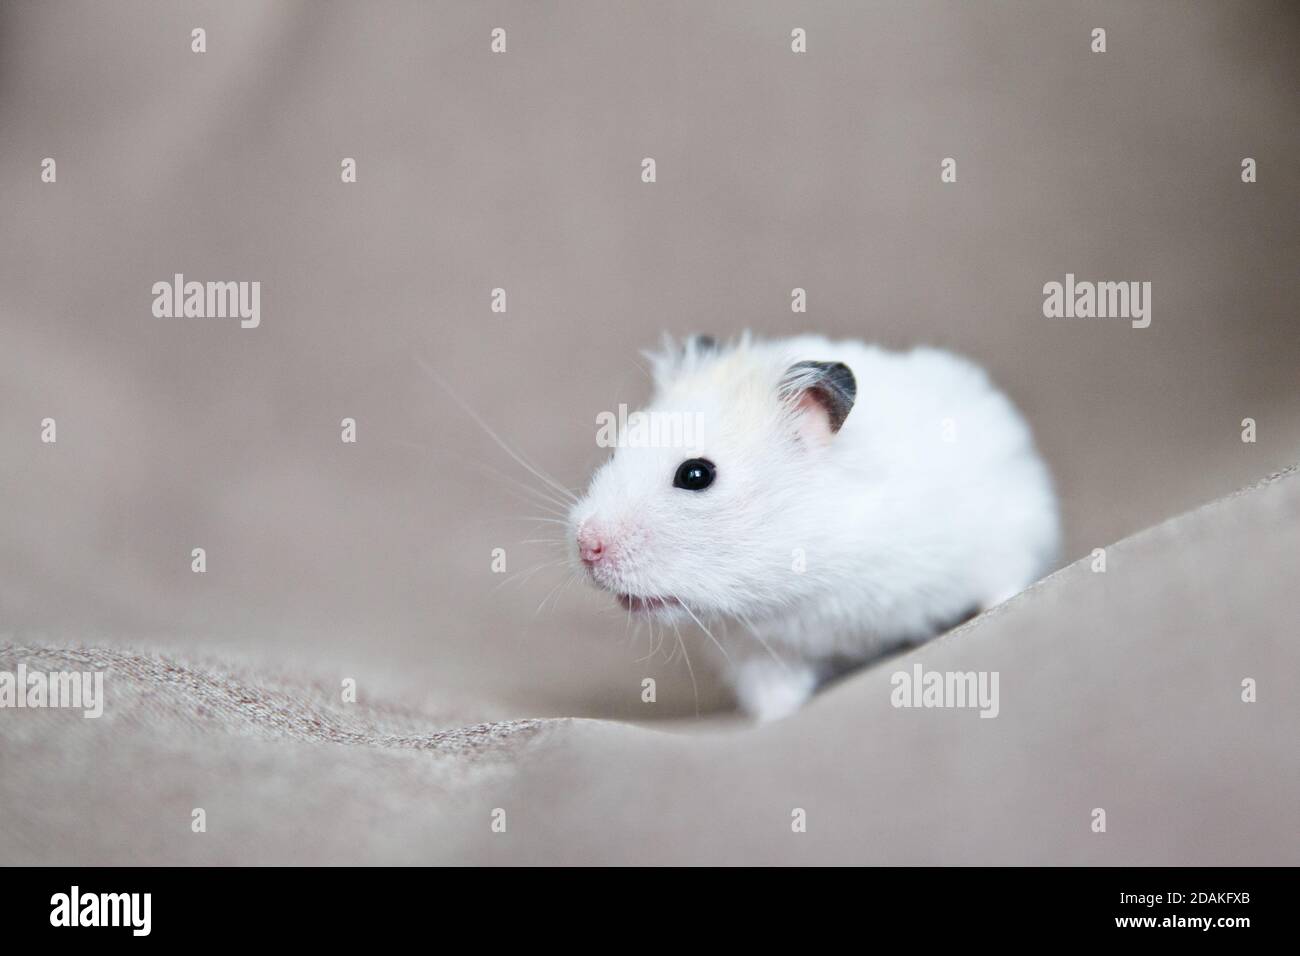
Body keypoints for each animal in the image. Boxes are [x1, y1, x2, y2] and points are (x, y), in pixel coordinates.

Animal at [569, 335, 1055, 717]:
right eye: (614, 452)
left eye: (695, 474)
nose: (586, 546)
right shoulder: (755, 651)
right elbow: (775, 695)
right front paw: (777, 717)